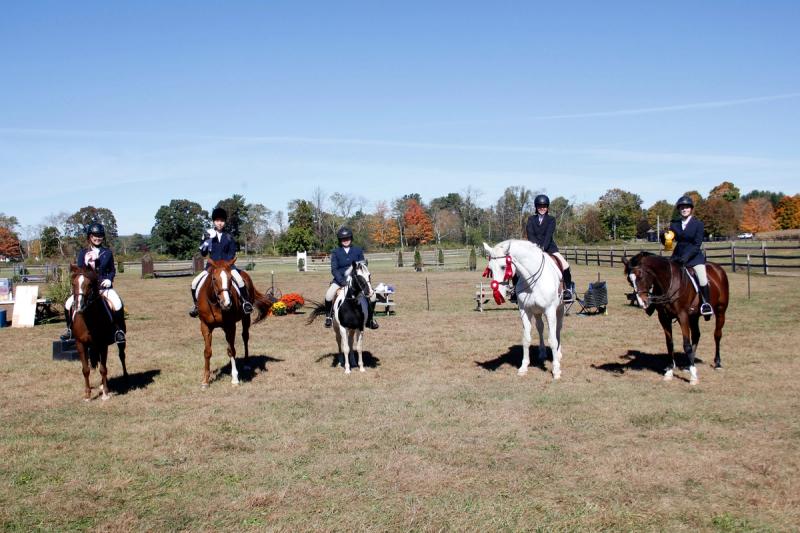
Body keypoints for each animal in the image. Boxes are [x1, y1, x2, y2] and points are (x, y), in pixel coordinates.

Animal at [68, 264, 128, 402]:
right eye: (73, 283)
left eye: (89, 284)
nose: (79, 307)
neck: (88, 319)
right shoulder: (81, 344)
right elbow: (85, 370)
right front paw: (87, 395)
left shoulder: (102, 344)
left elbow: (103, 369)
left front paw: (105, 394)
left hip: (120, 340)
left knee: (121, 356)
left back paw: (125, 377)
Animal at [195, 258, 274, 386]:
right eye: (214, 278)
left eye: (230, 279)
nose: (226, 303)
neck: (215, 303)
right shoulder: (205, 326)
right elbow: (207, 352)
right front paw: (205, 380)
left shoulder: (230, 326)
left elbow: (231, 351)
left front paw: (235, 378)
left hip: (246, 318)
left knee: (245, 337)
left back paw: (246, 364)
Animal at [484, 239, 564, 380]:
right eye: (490, 269)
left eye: (503, 267)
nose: (497, 293)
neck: (533, 282)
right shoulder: (524, 311)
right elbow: (526, 339)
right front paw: (523, 367)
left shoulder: (550, 311)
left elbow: (553, 340)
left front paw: (556, 370)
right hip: (537, 312)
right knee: (540, 327)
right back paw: (542, 353)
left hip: (560, 309)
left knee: (558, 329)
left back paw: (558, 354)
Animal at [620, 251, 728, 384]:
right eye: (629, 280)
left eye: (641, 276)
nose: (642, 303)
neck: (668, 283)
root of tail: (718, 268)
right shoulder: (664, 318)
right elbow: (669, 343)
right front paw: (670, 371)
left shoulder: (682, 316)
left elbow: (686, 344)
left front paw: (693, 377)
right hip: (694, 316)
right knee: (696, 335)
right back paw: (688, 365)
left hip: (720, 311)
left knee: (717, 335)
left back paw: (717, 363)